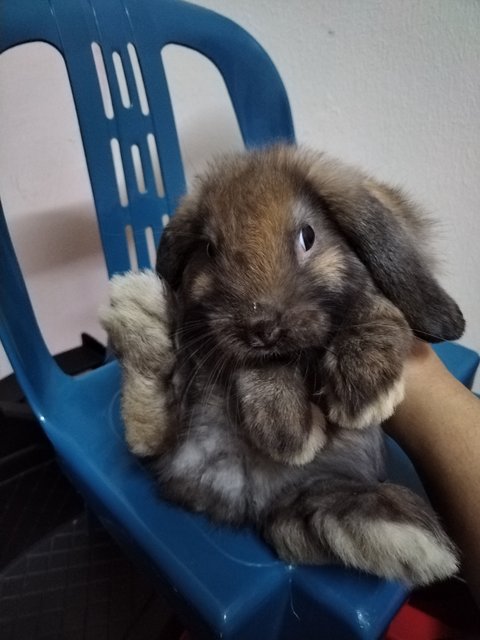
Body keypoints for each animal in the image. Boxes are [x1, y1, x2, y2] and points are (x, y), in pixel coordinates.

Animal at [101, 145, 464, 584]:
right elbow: (253, 367)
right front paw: (286, 429)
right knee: (151, 434)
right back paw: (140, 313)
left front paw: (363, 388)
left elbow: (372, 302)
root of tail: (247, 498)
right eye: (209, 250)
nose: (262, 327)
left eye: (308, 236)